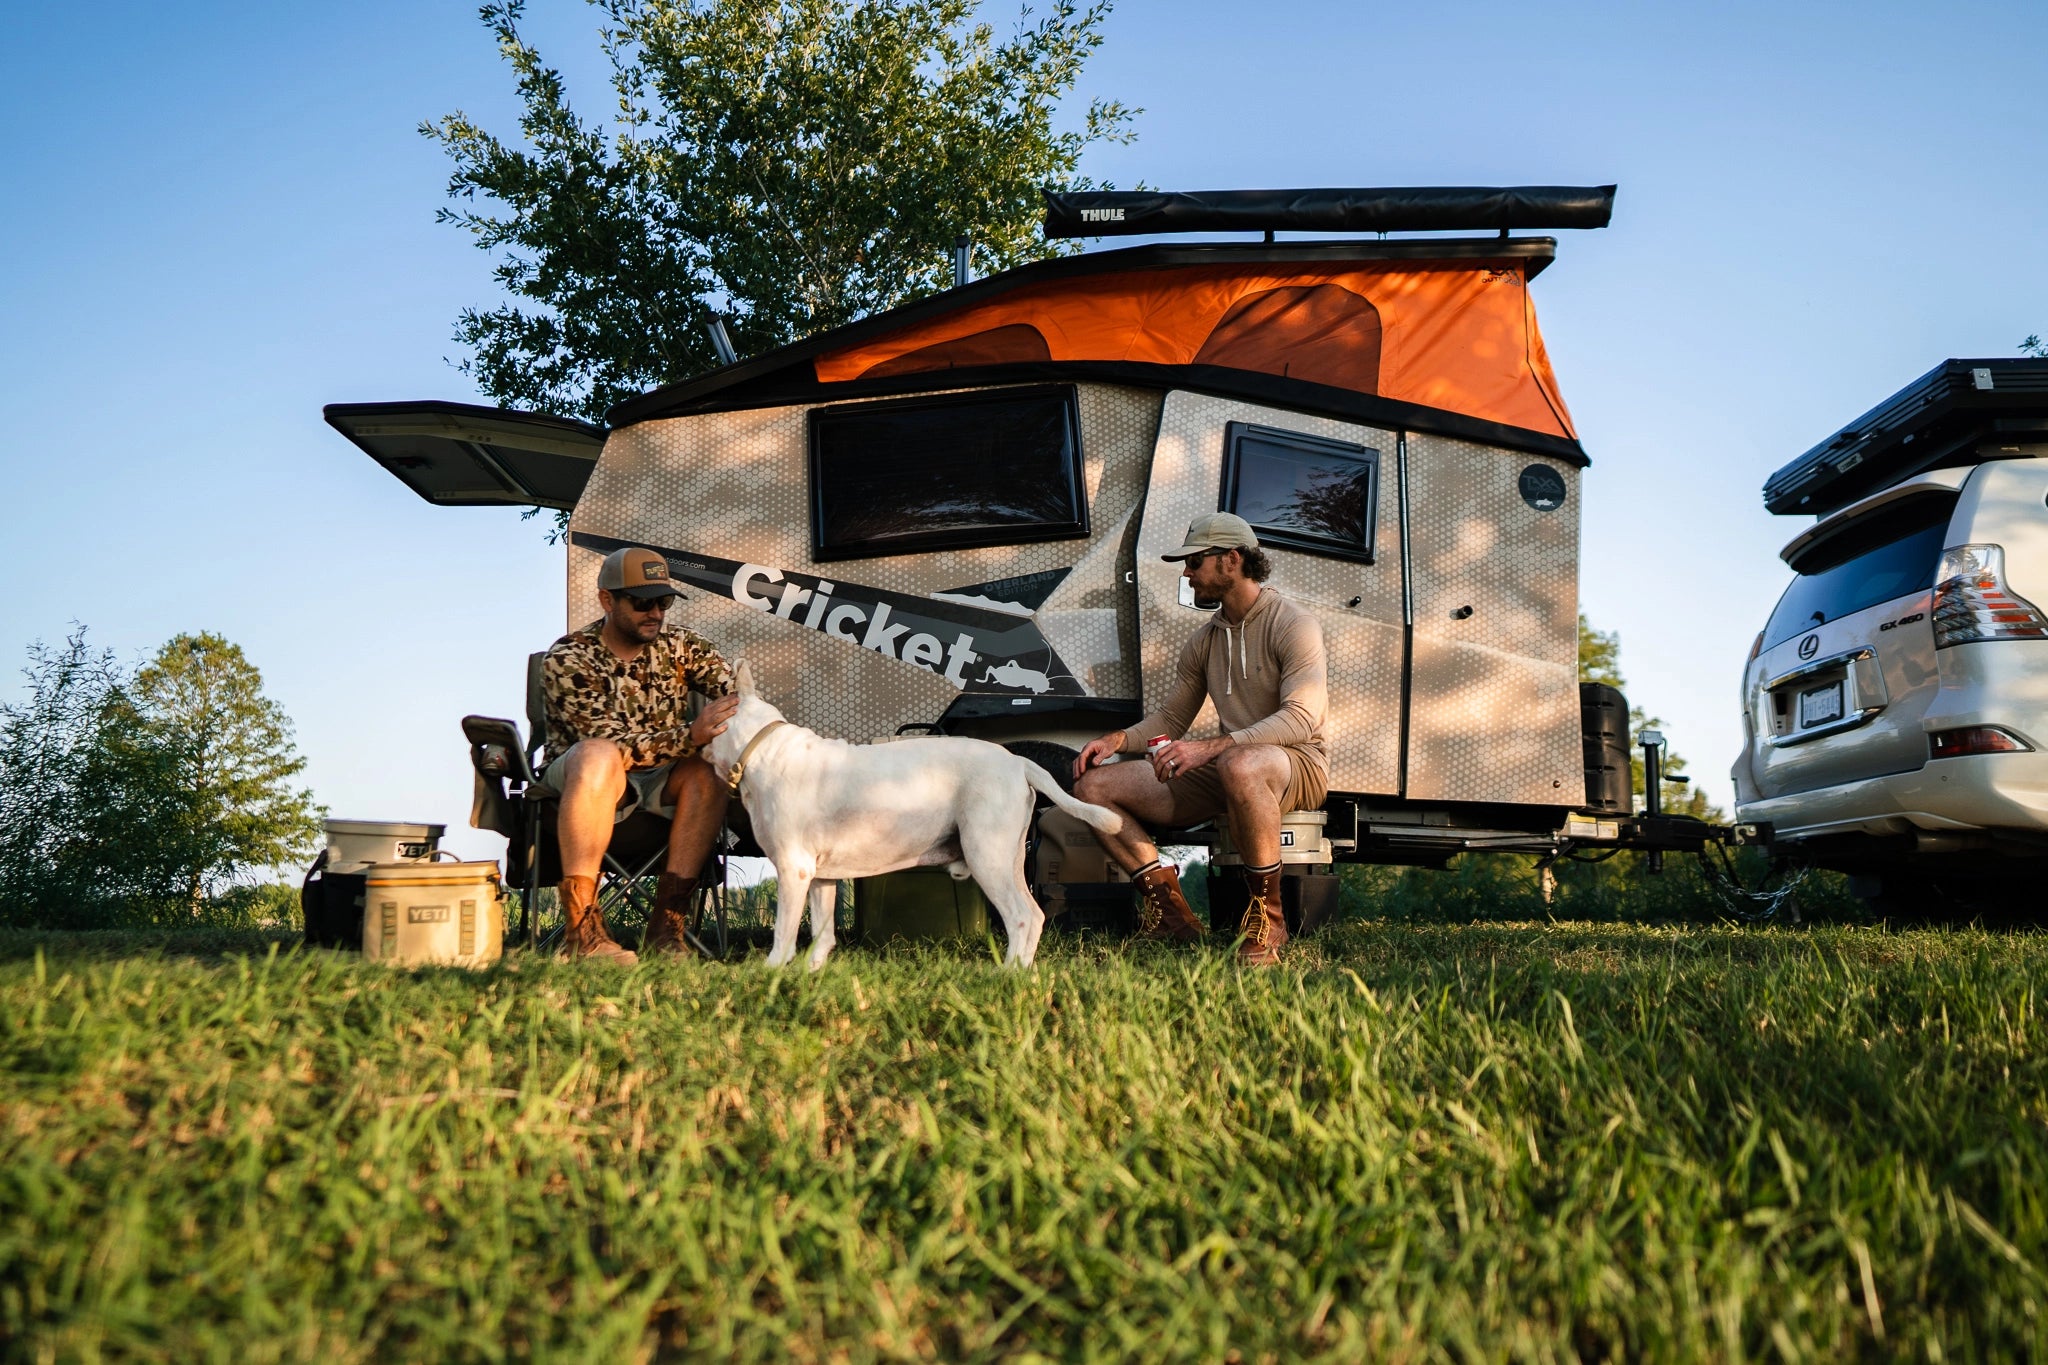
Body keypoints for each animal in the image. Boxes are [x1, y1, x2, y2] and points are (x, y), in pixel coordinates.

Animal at [704, 663, 1122, 970]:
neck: (762, 748)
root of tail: (1018, 762)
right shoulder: (820, 876)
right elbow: (822, 934)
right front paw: (812, 975)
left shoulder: (794, 869)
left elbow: (783, 933)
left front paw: (771, 973)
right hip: (1009, 856)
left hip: (987, 855)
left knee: (1024, 915)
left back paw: (1007, 975)